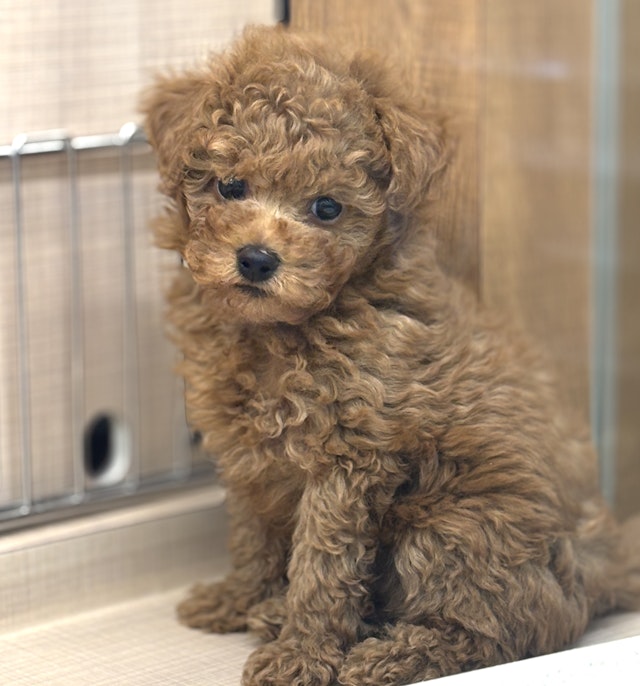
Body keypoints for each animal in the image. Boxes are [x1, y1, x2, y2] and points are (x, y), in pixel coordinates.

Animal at [142, 25, 639, 686]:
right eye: (230, 186)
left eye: (327, 208)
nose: (256, 259)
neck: (285, 329)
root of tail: (605, 571)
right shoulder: (247, 452)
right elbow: (251, 534)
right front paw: (237, 598)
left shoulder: (350, 454)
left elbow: (322, 568)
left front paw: (301, 656)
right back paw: (280, 614)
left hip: (452, 526)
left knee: (497, 633)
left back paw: (387, 655)